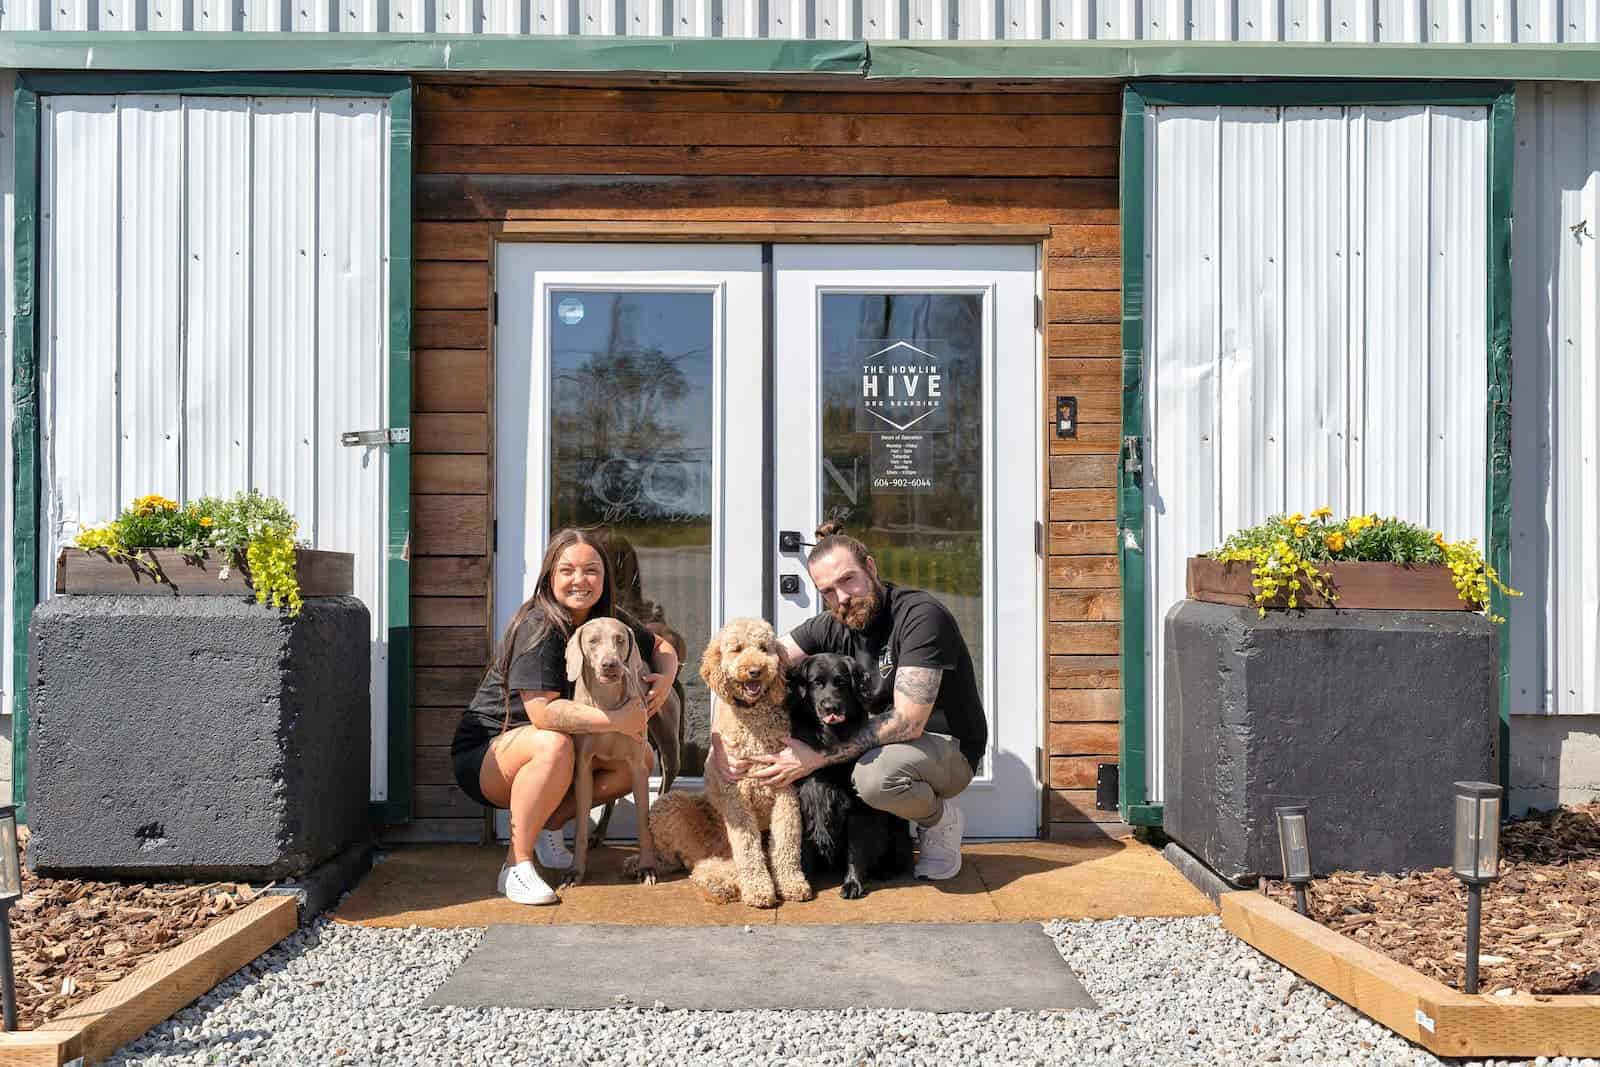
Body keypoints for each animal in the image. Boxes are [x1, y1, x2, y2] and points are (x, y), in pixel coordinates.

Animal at [627, 617, 812, 908]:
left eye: (764, 648)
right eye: (737, 649)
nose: (755, 671)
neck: (754, 725)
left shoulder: (785, 791)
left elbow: (787, 841)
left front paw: (792, 883)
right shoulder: (736, 798)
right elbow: (747, 847)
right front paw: (759, 889)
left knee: (704, 866)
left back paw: (719, 884)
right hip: (668, 805)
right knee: (677, 860)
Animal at [787, 655, 915, 895]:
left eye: (842, 682)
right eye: (815, 683)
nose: (831, 707)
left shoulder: (857, 807)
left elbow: (855, 849)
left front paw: (853, 883)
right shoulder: (805, 800)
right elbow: (804, 850)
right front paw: (805, 882)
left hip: (897, 827)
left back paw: (883, 871)